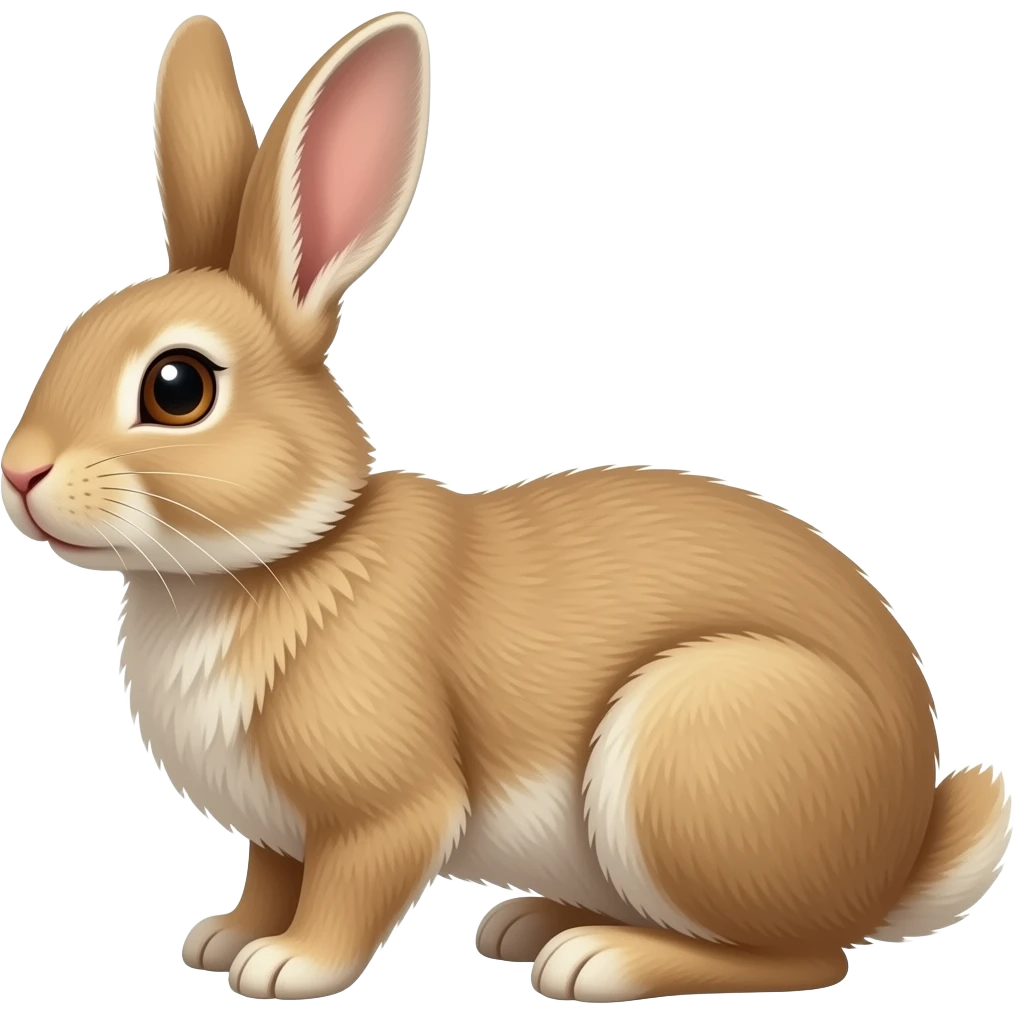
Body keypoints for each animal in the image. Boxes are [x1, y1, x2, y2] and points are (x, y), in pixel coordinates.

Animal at [1, 10, 1010, 1004]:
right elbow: (271, 876)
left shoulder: (385, 805)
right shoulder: (276, 831)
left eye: (178, 387)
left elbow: (349, 887)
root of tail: (900, 854)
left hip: (687, 752)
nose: (20, 473)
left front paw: (288, 967)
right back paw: (532, 923)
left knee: (807, 957)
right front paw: (224, 938)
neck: (284, 555)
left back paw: (596, 959)